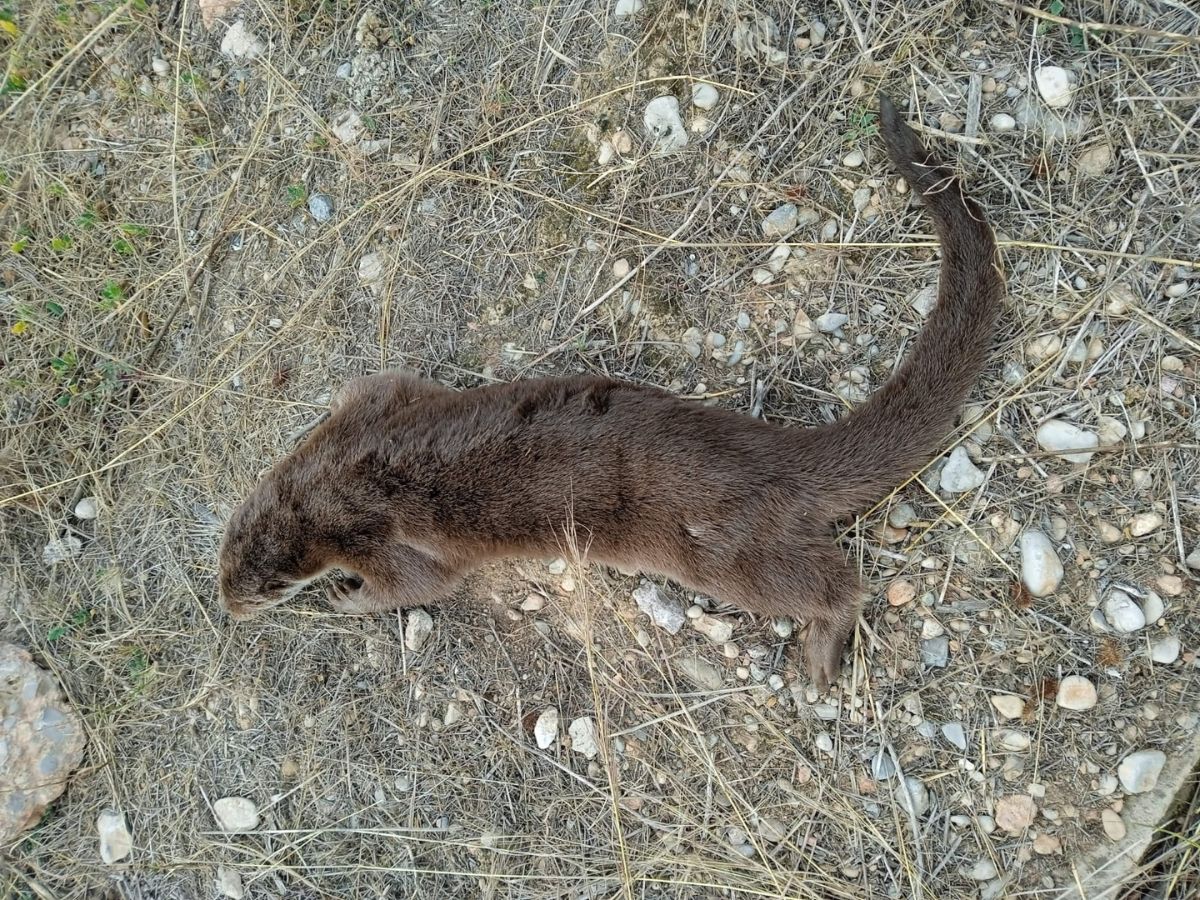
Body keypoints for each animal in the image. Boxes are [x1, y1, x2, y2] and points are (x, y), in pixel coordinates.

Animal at [218, 95, 1003, 691]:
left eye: (258, 586)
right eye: (222, 561)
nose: (227, 609)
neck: (330, 477)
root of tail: (771, 454)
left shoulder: (386, 536)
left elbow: (417, 586)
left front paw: (346, 596)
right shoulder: (376, 408)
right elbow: (383, 381)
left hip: (728, 547)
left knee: (833, 584)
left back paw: (821, 655)